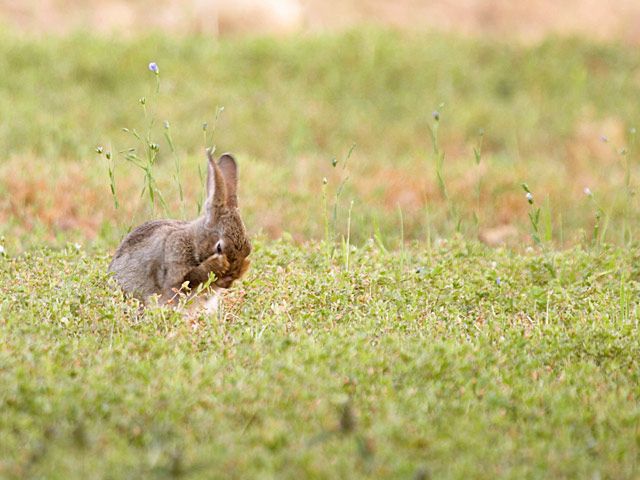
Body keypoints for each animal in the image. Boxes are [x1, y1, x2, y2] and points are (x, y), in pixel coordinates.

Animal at [109, 149, 251, 305]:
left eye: (248, 249)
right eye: (219, 247)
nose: (229, 281)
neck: (194, 242)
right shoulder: (175, 268)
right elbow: (189, 279)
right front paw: (218, 265)